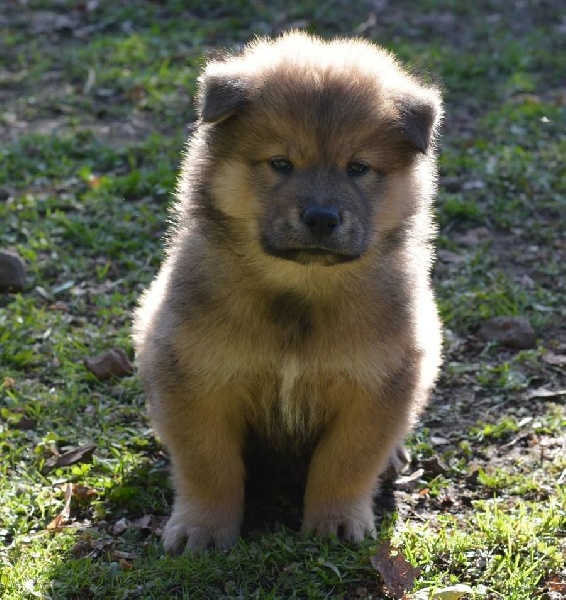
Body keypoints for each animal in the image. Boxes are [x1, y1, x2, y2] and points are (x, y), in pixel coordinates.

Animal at [133, 32, 443, 553]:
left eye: (358, 167)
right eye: (281, 163)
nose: (321, 217)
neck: (301, 291)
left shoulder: (377, 383)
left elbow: (346, 462)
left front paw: (335, 521)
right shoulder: (194, 377)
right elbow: (208, 466)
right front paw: (203, 529)